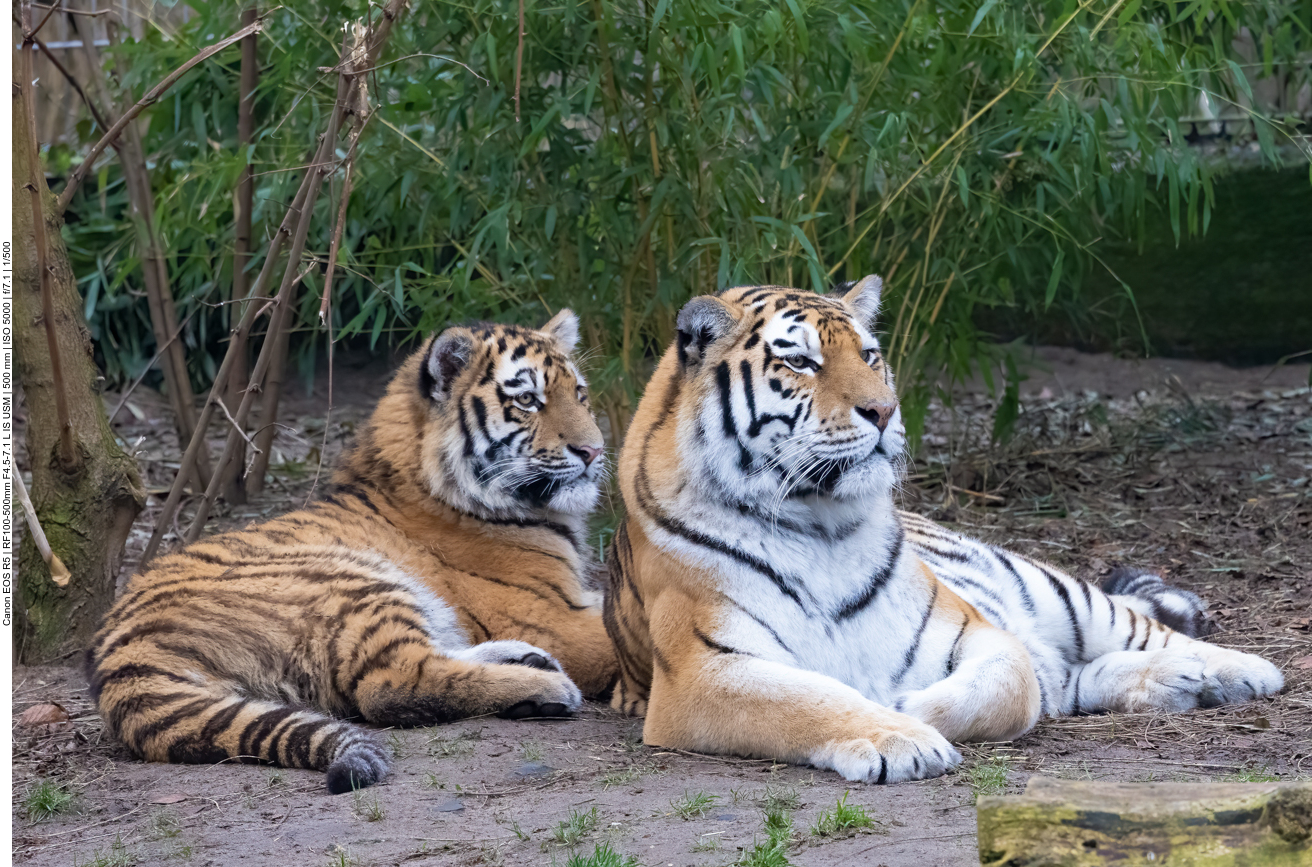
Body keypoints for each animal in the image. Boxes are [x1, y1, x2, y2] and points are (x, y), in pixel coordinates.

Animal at [87, 311, 617, 793]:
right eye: (527, 400)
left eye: (580, 394)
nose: (594, 451)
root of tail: (119, 653)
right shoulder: (554, 617)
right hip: (353, 580)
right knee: (393, 684)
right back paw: (545, 688)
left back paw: (527, 660)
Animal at [603, 277, 1284, 784]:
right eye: (800, 361)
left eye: (870, 355)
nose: (884, 411)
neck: (820, 523)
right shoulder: (702, 673)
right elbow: (808, 699)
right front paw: (895, 734)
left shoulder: (976, 632)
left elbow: (1009, 683)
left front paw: (905, 710)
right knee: (1073, 677)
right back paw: (1178, 682)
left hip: (1049, 588)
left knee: (1137, 631)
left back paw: (1241, 671)